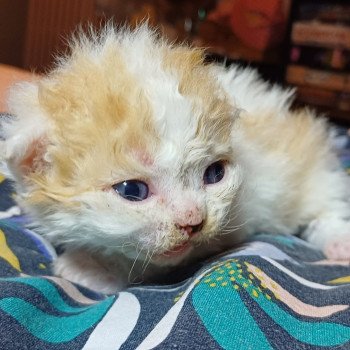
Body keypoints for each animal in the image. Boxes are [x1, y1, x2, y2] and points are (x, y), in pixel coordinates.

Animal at [0, 24, 350, 292]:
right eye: (132, 191)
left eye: (214, 174)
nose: (193, 221)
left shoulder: (228, 230)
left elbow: (147, 263)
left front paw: (90, 268)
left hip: (311, 172)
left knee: (325, 206)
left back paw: (339, 241)